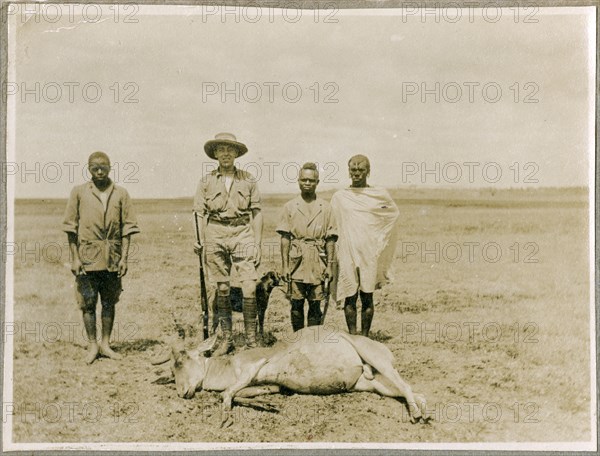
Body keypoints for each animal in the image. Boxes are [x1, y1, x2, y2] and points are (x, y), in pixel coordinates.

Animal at [152, 326, 428, 422]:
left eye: (182, 360)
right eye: (172, 368)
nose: (182, 392)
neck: (228, 365)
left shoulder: (256, 364)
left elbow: (227, 393)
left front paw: (227, 409)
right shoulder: (266, 385)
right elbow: (244, 393)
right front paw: (268, 405)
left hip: (376, 360)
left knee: (405, 386)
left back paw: (417, 415)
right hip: (373, 384)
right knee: (412, 391)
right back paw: (423, 410)